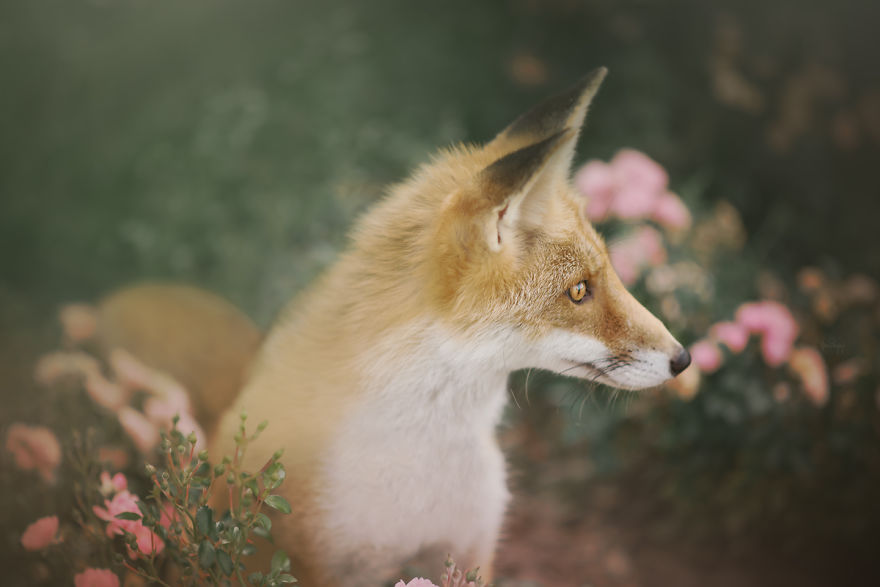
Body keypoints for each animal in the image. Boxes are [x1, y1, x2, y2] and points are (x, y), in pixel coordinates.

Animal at [93, 67, 690, 585]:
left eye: (607, 272)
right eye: (579, 291)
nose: (683, 359)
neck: (419, 469)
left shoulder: (467, 551)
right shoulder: (315, 565)